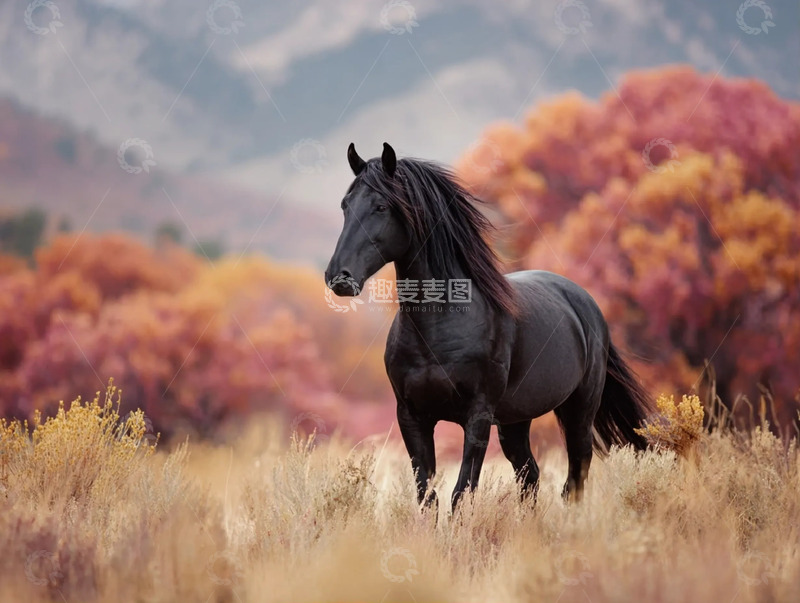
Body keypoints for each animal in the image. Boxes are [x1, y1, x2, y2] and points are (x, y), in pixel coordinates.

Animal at [325, 142, 651, 511]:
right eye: (346, 205)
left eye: (381, 206)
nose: (339, 277)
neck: (439, 327)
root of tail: (585, 302)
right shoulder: (412, 418)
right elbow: (427, 496)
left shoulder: (477, 417)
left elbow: (461, 493)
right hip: (516, 421)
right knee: (530, 475)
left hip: (578, 411)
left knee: (574, 478)